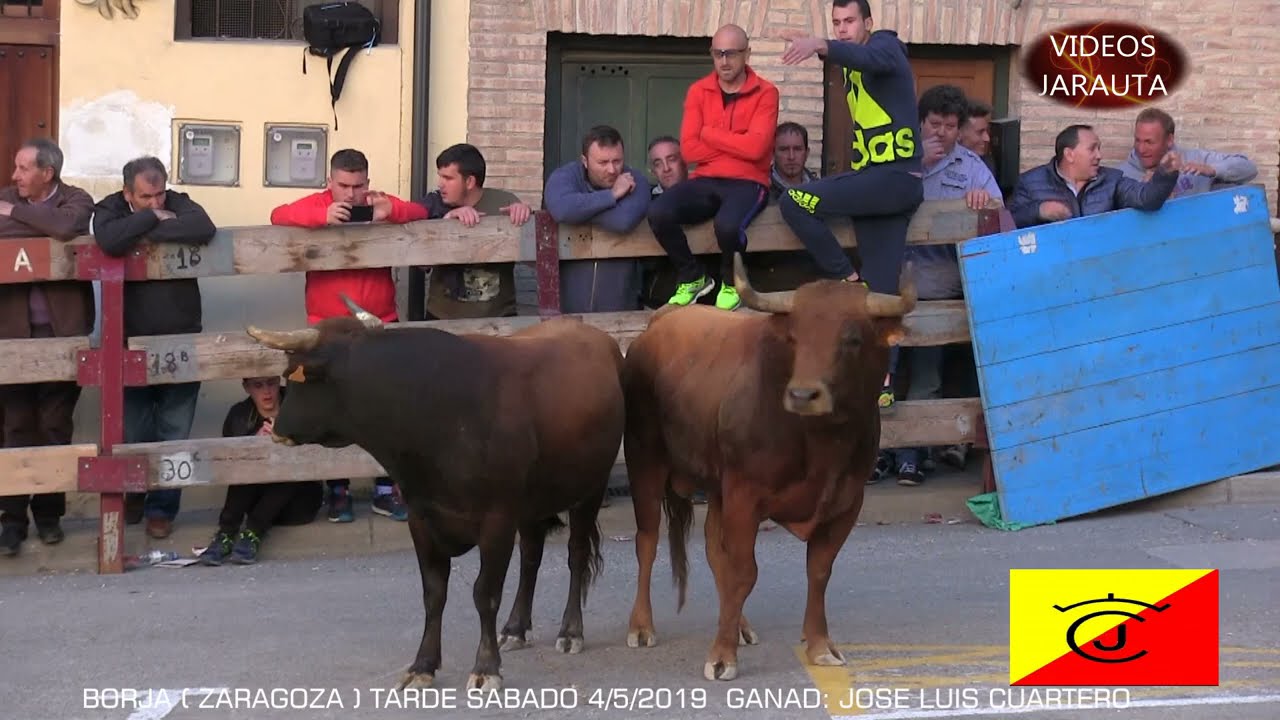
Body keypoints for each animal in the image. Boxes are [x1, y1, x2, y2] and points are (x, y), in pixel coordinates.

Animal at [245, 297, 626, 691]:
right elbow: (434, 592)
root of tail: (596, 336)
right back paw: (516, 628)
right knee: (532, 555)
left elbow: (485, 593)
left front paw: (486, 667)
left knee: (576, 554)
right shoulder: (422, 517)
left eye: (294, 375)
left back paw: (571, 631)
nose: (278, 430)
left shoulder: (497, 519)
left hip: (590, 488)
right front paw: (423, 664)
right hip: (534, 501)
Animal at [622, 252, 916, 681]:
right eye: (794, 337)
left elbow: (818, 571)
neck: (821, 443)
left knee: (714, 550)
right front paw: (722, 655)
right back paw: (642, 625)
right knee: (647, 541)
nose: (803, 394)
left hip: (716, 486)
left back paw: (740, 626)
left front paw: (819, 645)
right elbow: (745, 572)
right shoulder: (745, 496)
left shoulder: (847, 502)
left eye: (852, 339)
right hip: (645, 462)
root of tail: (661, 321)